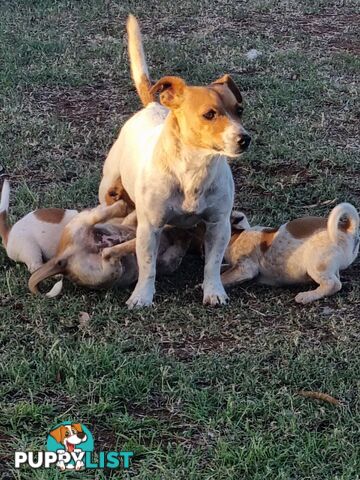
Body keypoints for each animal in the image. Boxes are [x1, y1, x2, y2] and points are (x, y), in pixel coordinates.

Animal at [97, 15, 250, 310]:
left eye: (239, 110)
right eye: (209, 114)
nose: (244, 138)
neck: (194, 171)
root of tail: (152, 106)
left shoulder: (218, 224)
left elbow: (212, 264)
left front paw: (214, 291)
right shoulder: (150, 228)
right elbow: (148, 266)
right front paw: (142, 296)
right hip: (108, 185)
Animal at [222, 203, 360, 304]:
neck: (237, 236)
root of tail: (347, 229)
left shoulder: (244, 268)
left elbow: (223, 277)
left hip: (316, 264)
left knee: (333, 284)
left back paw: (306, 296)